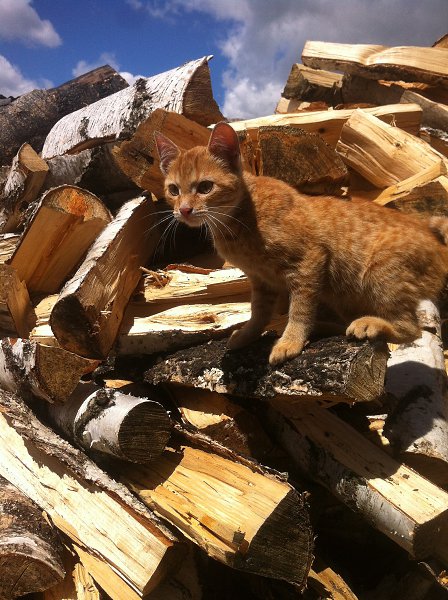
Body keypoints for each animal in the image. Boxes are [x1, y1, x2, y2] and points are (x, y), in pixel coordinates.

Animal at [154, 122, 448, 366]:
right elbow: (258, 313)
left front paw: (290, 341)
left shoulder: (308, 263)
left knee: (411, 329)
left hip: (381, 273)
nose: (184, 210)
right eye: (173, 190)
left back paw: (370, 324)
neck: (241, 218)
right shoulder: (261, 281)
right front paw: (248, 335)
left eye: (205, 187)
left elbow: (299, 310)